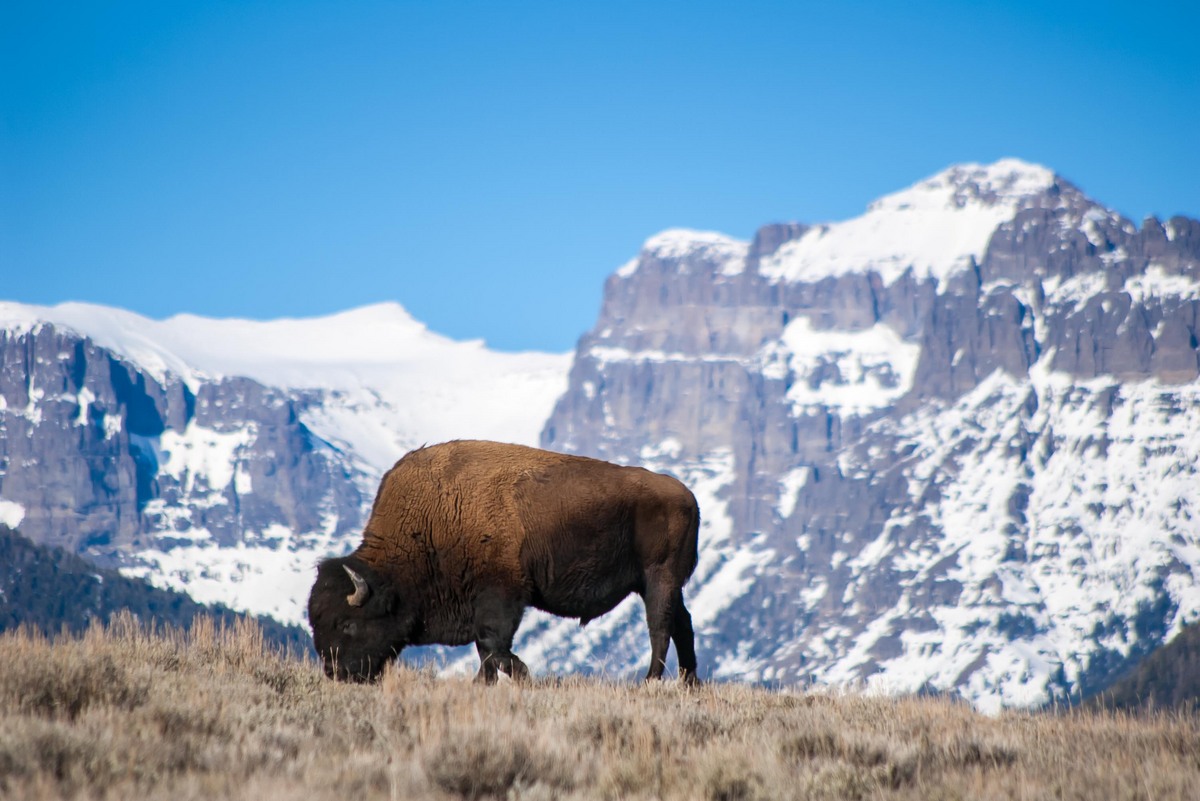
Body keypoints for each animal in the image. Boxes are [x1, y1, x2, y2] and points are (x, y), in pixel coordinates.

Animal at [308, 440, 701, 684]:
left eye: (347, 624)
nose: (335, 673)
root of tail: (686, 495)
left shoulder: (501, 595)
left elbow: (493, 644)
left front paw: (522, 675)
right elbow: (485, 650)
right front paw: (484, 683)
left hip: (658, 578)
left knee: (660, 626)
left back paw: (649, 682)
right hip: (664, 584)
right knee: (682, 624)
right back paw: (689, 682)